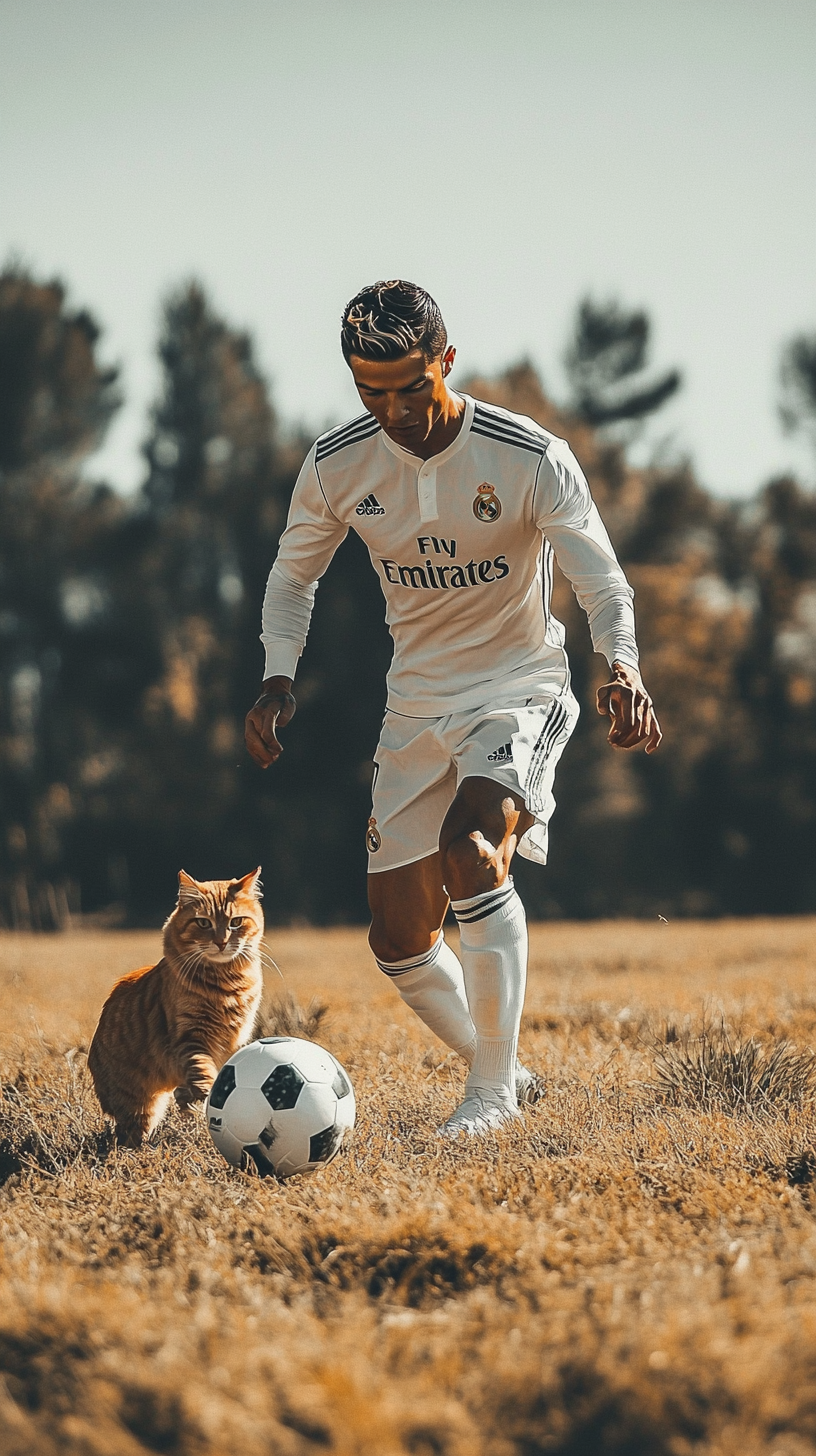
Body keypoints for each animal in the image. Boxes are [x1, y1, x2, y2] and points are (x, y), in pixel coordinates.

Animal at [90, 861, 266, 1147]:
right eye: (204, 923)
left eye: (236, 922)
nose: (221, 942)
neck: (224, 983)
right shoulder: (190, 1037)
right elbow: (204, 1074)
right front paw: (208, 1097)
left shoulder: (235, 1039)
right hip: (138, 1105)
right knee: (130, 1133)